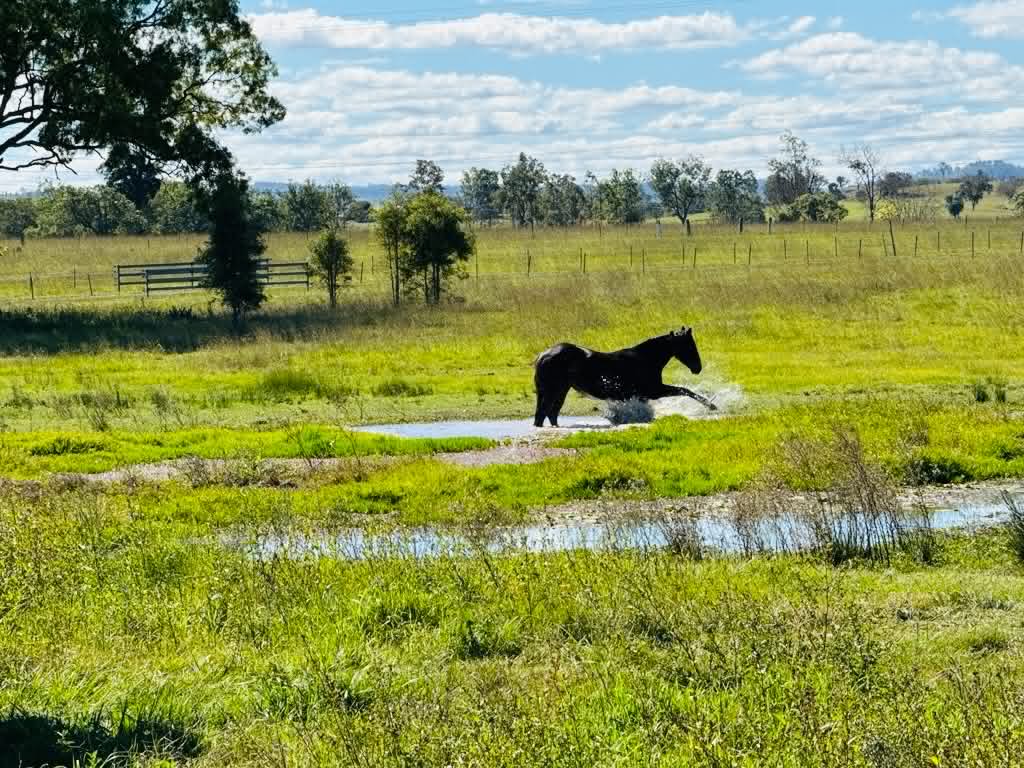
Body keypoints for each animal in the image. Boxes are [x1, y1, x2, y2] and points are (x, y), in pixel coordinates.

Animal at [533, 326, 716, 427]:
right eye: (689, 345)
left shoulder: (643, 395)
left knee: (550, 414)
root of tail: (543, 355)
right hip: (553, 391)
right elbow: (684, 390)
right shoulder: (654, 391)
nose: (697, 368)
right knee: (544, 414)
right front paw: (712, 406)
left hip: (559, 391)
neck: (646, 359)